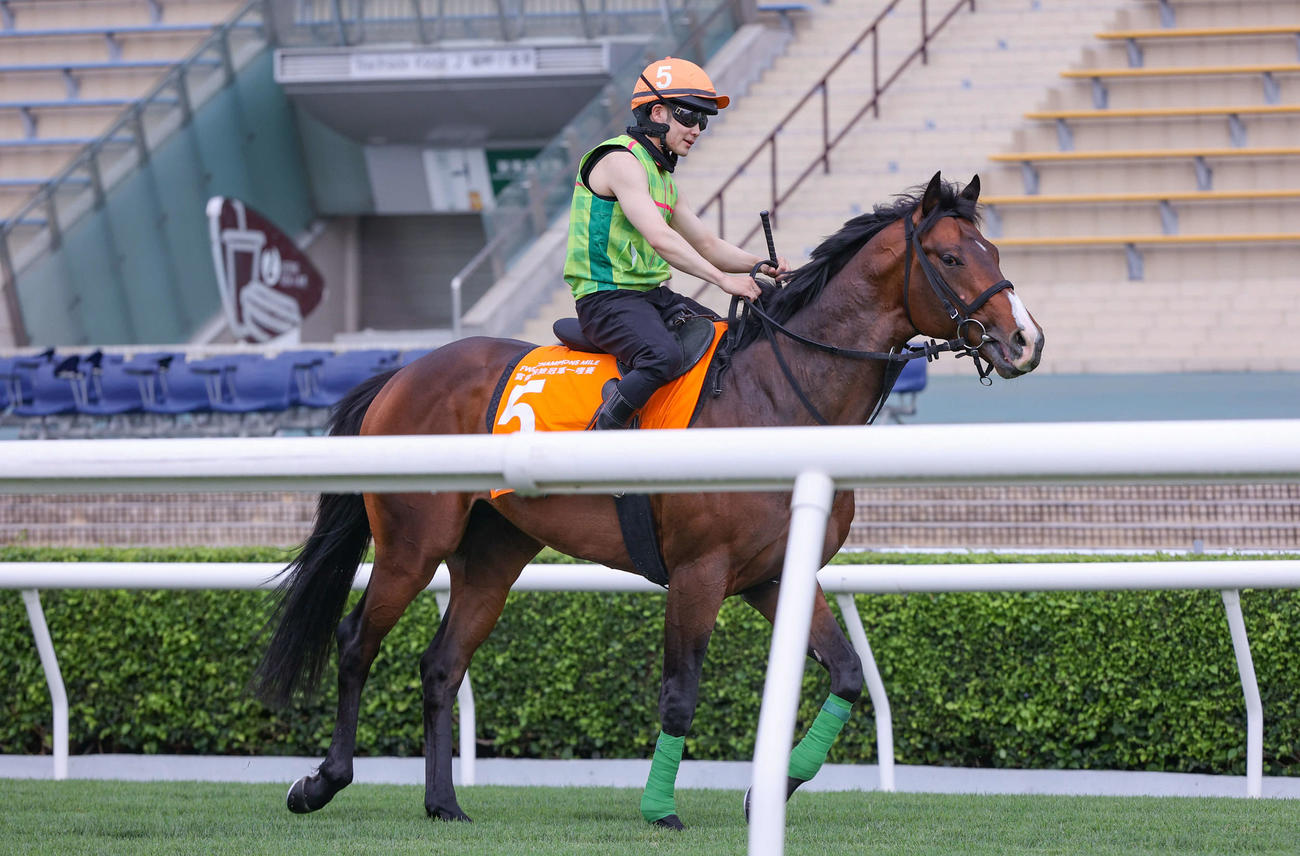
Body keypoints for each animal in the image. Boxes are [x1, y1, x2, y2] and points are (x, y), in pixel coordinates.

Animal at [252, 172, 1045, 827]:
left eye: (991, 247)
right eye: (950, 258)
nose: (1025, 341)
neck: (778, 397)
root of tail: (402, 372)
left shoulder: (771, 573)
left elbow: (848, 674)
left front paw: (768, 791)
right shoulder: (699, 573)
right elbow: (680, 692)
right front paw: (661, 808)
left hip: (493, 555)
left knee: (441, 666)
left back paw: (443, 802)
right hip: (413, 545)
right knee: (357, 642)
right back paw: (321, 782)